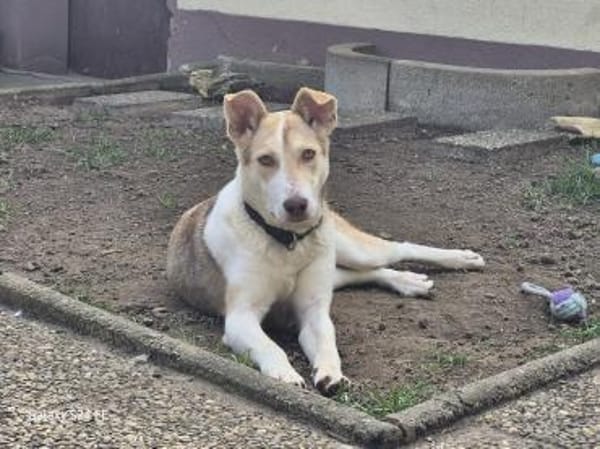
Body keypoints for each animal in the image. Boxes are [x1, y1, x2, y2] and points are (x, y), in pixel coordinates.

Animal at [166, 87, 485, 395]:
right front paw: (283, 374)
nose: (296, 205)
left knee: (397, 249)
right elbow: (271, 347)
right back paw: (409, 281)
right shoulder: (241, 317)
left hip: (350, 248)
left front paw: (332, 373)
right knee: (363, 272)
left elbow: (327, 343)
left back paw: (460, 259)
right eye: (266, 159)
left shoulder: (313, 311)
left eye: (308, 154)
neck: (288, 243)